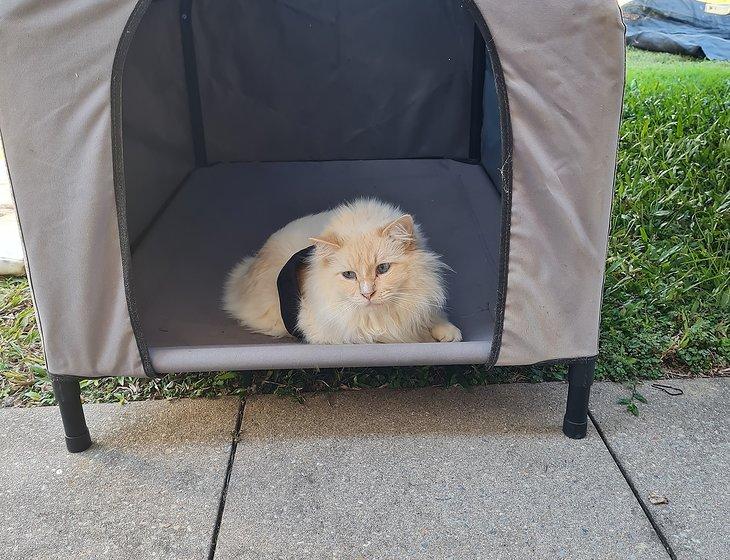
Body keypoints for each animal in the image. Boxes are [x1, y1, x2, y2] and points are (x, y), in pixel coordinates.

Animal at [222, 199, 460, 344]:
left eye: (382, 269)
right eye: (349, 275)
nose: (367, 294)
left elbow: (432, 315)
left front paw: (448, 333)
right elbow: (388, 332)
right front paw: (424, 336)